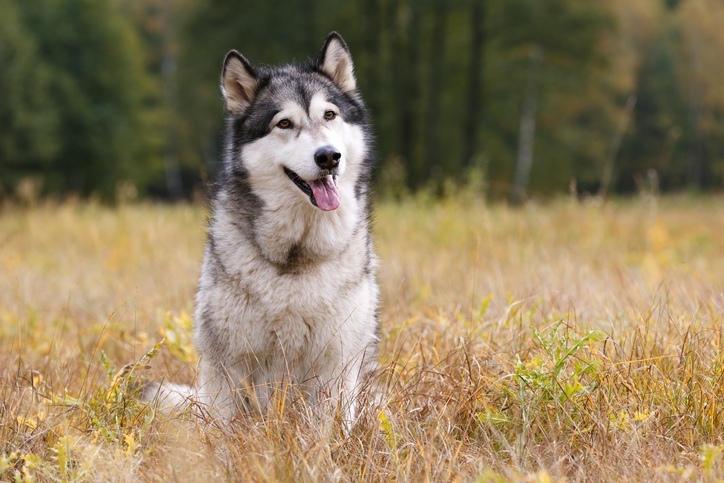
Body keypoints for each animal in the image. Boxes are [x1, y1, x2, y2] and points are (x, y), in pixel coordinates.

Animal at [150, 32, 382, 424]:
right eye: (284, 124)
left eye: (329, 115)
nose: (328, 156)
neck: (297, 257)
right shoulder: (228, 364)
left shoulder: (336, 363)